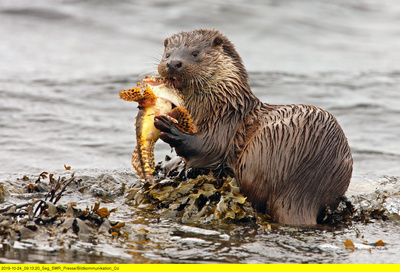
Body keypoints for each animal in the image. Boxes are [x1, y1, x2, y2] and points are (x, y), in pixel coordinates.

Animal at [153, 28, 354, 226]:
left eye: (195, 53)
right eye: (167, 54)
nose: (173, 63)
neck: (221, 104)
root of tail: (302, 192)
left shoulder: (224, 124)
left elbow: (206, 148)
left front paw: (169, 128)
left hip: (262, 149)